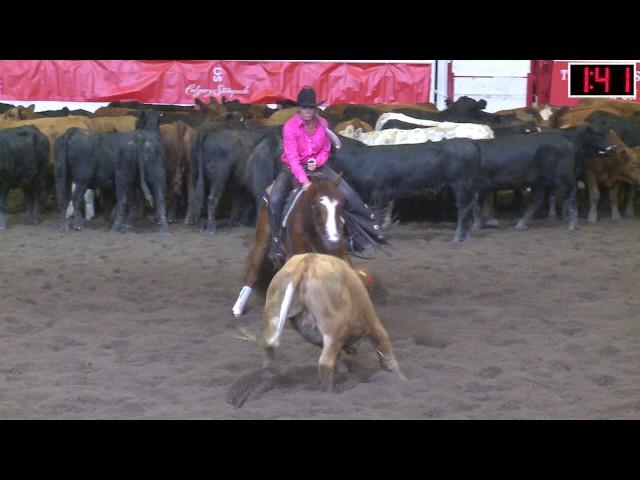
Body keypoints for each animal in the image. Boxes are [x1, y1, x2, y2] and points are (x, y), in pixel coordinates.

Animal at [232, 172, 348, 316]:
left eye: (341, 205)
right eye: (316, 207)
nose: (333, 241)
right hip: (262, 239)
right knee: (254, 268)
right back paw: (238, 306)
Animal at [252, 253, 402, 392]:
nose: (352, 350)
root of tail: (307, 261)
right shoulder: (373, 324)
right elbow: (384, 348)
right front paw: (399, 378)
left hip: (275, 313)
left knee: (269, 351)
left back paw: (268, 384)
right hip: (334, 326)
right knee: (325, 362)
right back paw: (327, 392)